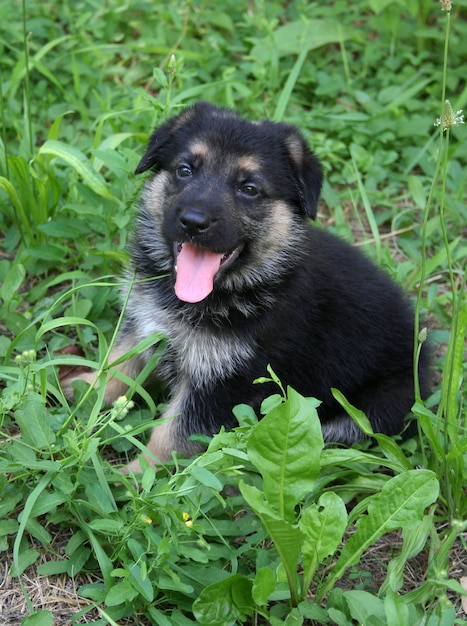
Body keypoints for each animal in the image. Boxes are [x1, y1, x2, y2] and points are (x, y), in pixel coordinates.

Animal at [63, 101, 432, 468]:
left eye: (249, 189)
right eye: (185, 170)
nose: (193, 222)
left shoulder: (223, 381)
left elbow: (171, 435)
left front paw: (136, 476)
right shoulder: (144, 323)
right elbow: (115, 366)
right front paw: (79, 388)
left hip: (370, 411)